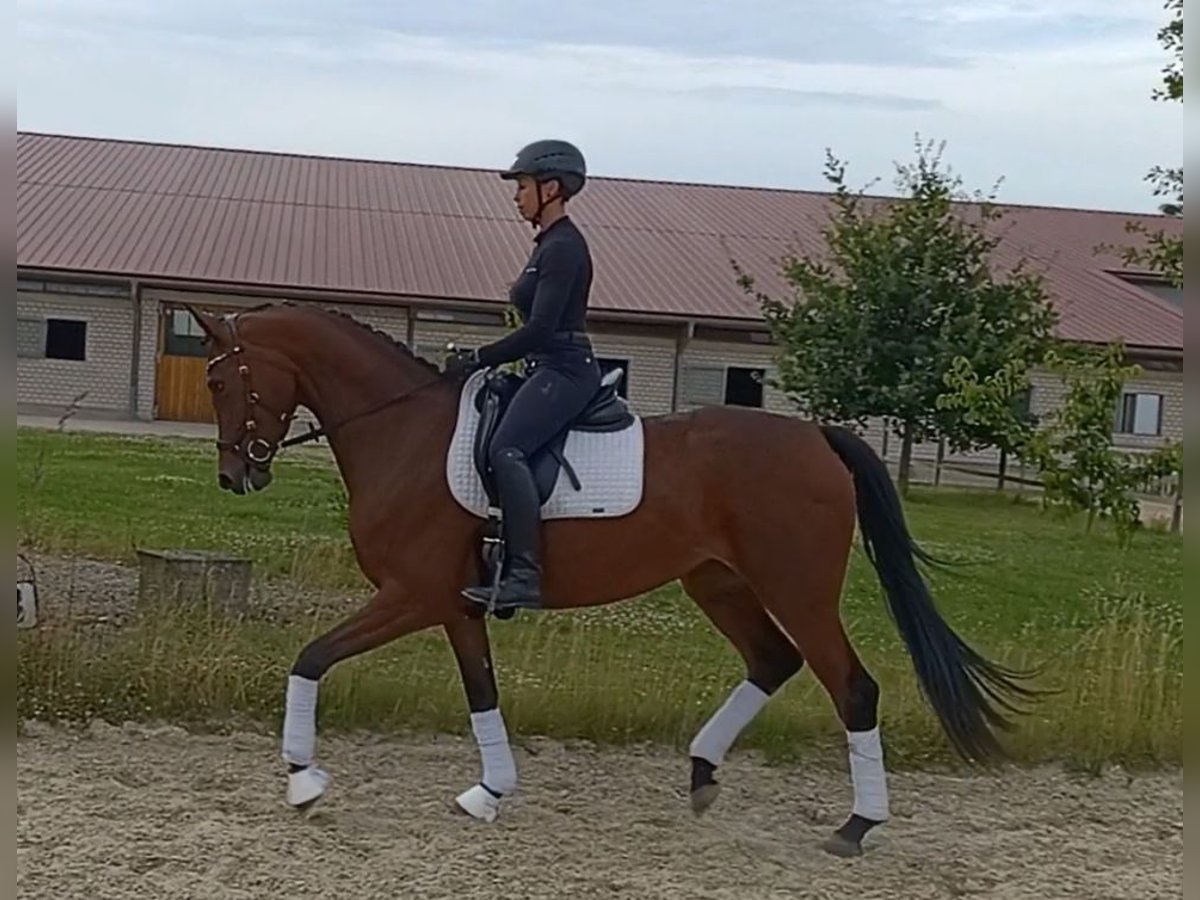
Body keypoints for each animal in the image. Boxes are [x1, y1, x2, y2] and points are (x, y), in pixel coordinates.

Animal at [184, 303, 1032, 859]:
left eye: (222, 383)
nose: (233, 477)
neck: (404, 433)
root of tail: (817, 439)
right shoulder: (454, 607)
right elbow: (481, 692)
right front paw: (489, 791)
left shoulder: (409, 597)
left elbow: (310, 658)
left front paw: (302, 778)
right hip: (718, 583)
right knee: (771, 661)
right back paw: (702, 774)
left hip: (798, 590)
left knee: (851, 687)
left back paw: (857, 826)